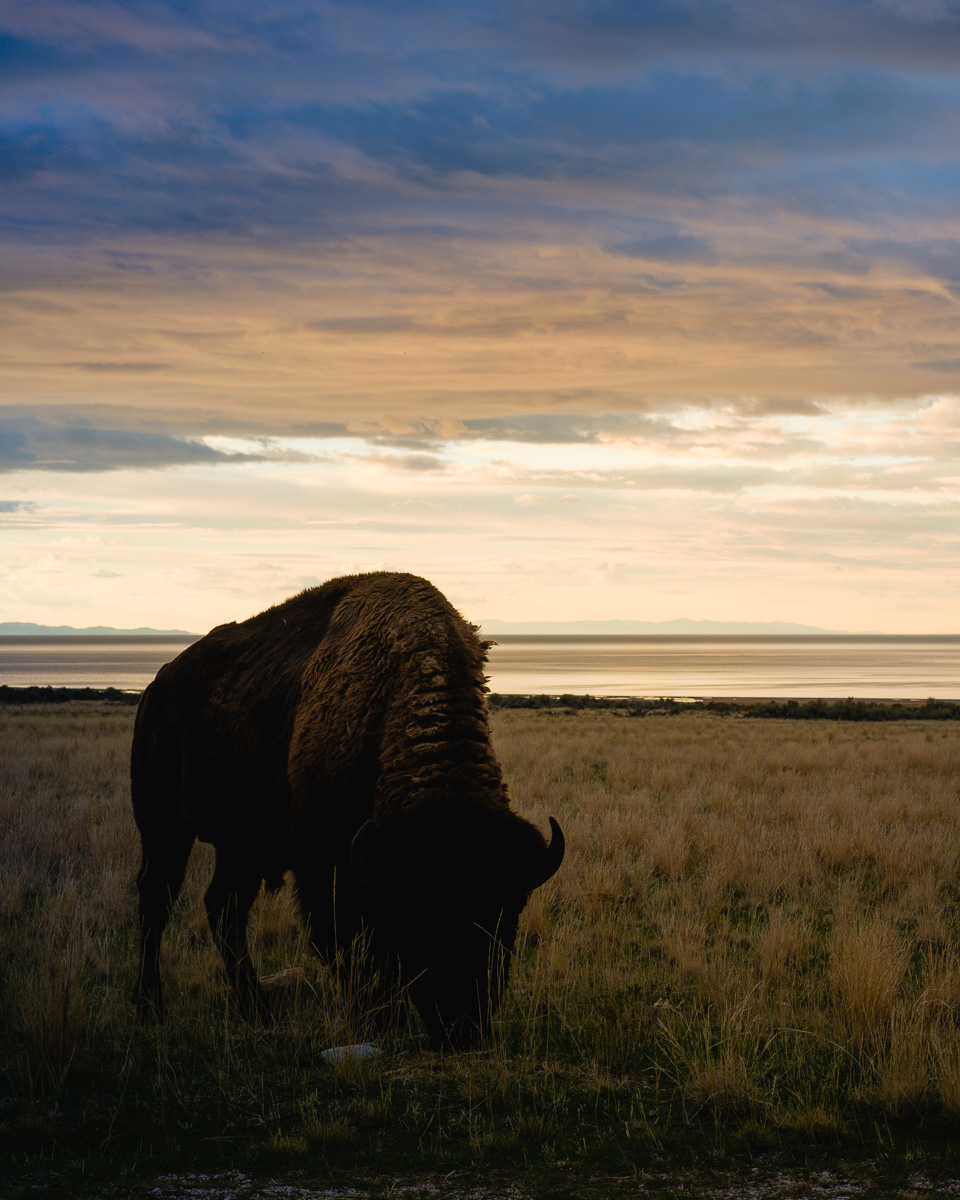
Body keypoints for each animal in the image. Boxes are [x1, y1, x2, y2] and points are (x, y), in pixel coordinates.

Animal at [131, 571, 564, 1048]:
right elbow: (355, 955)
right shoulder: (331, 877)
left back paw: (256, 1011)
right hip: (162, 824)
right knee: (157, 900)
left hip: (240, 845)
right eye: (416, 921)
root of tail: (156, 688)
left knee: (224, 909)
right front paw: (376, 1024)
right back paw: (150, 1009)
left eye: (506, 919)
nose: (462, 1029)